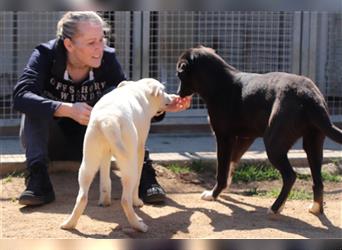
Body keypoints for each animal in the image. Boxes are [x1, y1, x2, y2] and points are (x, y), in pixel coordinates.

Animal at [59, 78, 175, 232]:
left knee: (82, 197)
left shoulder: (105, 153)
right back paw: (139, 225)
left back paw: (69, 224)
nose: (171, 98)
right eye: (163, 90)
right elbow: (137, 182)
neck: (140, 90)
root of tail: (108, 120)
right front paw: (137, 201)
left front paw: (104, 200)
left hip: (87, 165)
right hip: (129, 166)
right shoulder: (139, 149)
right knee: (125, 200)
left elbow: (104, 178)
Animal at [176, 46, 342, 216]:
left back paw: (275, 207)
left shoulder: (224, 137)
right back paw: (316, 207)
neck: (219, 82)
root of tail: (310, 96)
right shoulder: (245, 138)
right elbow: (231, 162)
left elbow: (222, 170)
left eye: (179, 74)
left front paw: (213, 194)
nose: (178, 93)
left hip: (274, 144)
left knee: (290, 176)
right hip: (313, 143)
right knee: (318, 181)